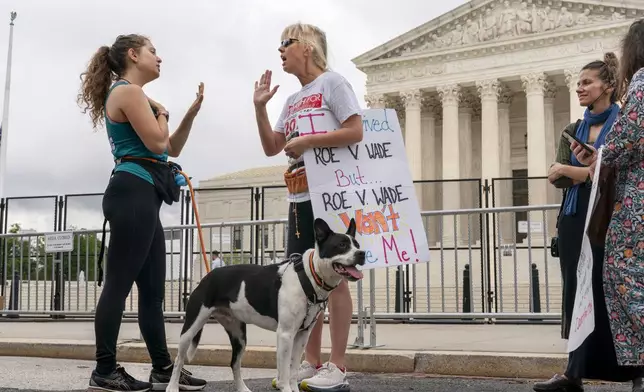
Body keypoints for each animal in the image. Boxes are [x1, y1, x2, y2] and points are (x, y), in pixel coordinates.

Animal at [166, 217, 364, 392]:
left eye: (357, 245)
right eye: (341, 245)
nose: (362, 254)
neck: (308, 277)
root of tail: (207, 277)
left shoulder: (302, 335)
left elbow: (293, 371)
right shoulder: (285, 335)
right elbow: (284, 373)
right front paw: (286, 389)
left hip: (239, 336)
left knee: (234, 364)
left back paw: (242, 389)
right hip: (191, 328)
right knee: (179, 360)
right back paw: (172, 387)